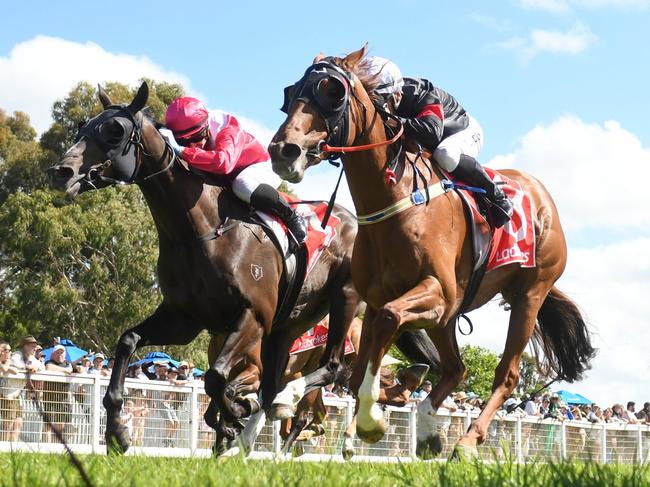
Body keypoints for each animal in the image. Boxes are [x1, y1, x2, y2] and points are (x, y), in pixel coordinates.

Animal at [268, 45, 592, 458]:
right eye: (292, 93)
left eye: (331, 92)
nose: (283, 150)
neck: (397, 199)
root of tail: (541, 194)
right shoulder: (381, 299)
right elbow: (357, 367)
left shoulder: (435, 292)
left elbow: (386, 324)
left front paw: (370, 421)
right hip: (448, 318)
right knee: (456, 369)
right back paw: (426, 429)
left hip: (528, 294)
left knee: (506, 374)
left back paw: (467, 441)